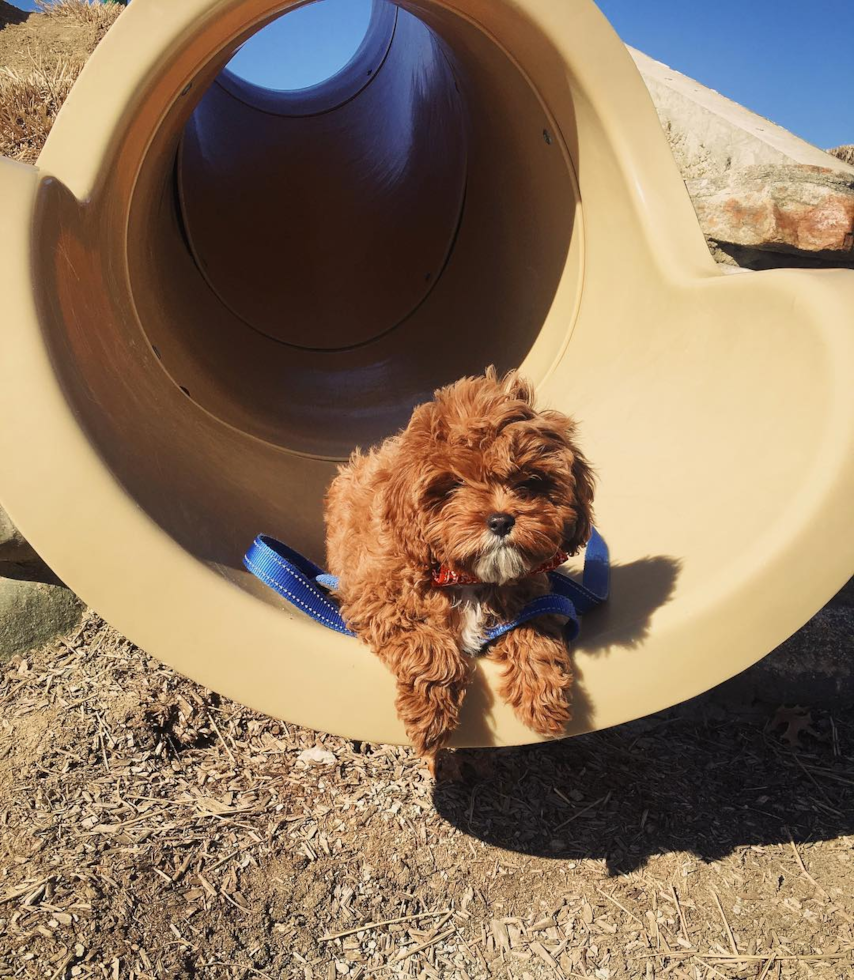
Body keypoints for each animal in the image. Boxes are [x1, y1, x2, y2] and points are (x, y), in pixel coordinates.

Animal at [324, 368, 600, 772]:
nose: (500, 520)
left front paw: (542, 695)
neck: (465, 575)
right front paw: (430, 719)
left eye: (530, 482)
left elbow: (533, 628)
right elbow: (429, 646)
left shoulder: (533, 593)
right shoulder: (375, 597)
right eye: (454, 485)